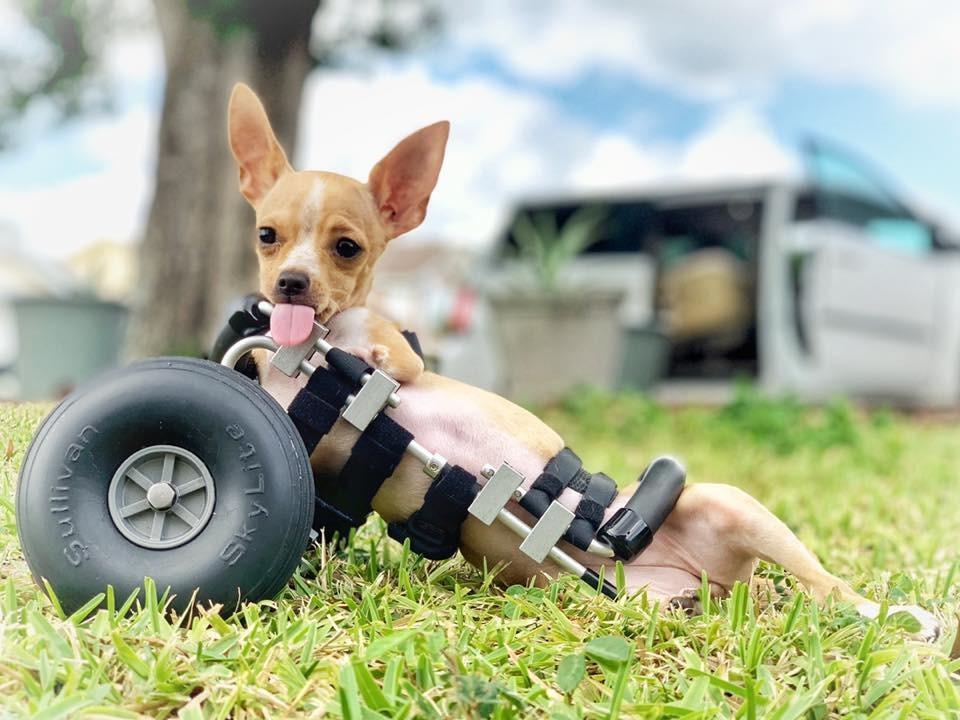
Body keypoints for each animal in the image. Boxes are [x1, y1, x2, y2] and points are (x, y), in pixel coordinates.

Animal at [225, 84, 936, 640]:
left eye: (347, 247)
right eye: (266, 236)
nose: (290, 284)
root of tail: (710, 585)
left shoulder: (396, 353)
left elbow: (372, 336)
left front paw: (359, 344)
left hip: (737, 508)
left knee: (831, 590)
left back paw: (894, 619)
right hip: (634, 601)